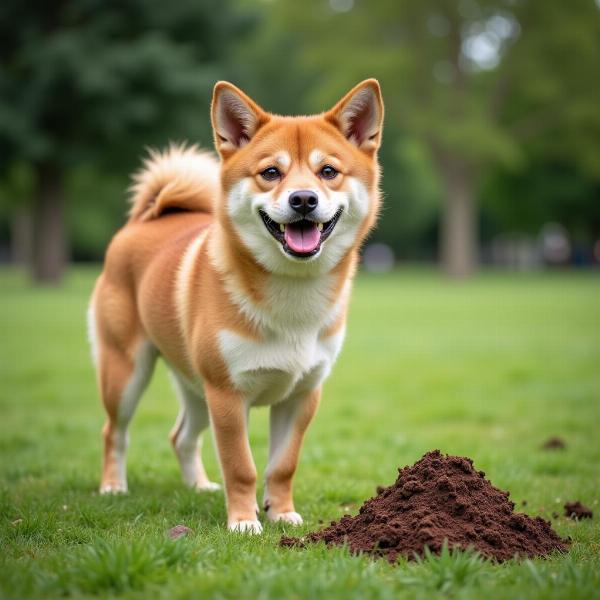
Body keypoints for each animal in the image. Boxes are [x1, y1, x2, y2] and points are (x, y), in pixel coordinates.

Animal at [89, 77, 384, 532]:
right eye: (271, 172)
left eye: (328, 171)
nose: (303, 199)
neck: (292, 296)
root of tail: (146, 219)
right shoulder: (227, 395)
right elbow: (241, 465)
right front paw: (244, 522)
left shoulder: (302, 395)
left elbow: (283, 466)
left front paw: (282, 514)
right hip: (127, 371)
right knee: (113, 432)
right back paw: (113, 487)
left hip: (194, 385)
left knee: (181, 436)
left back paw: (198, 486)